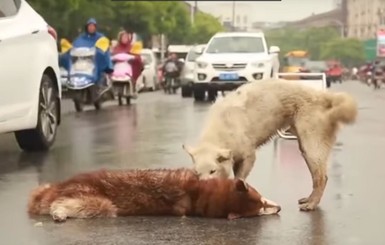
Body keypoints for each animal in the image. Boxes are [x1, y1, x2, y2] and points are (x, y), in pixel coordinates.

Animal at [183, 78, 356, 211]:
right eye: (197, 173)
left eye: (213, 171)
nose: (203, 190)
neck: (220, 133)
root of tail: (324, 97)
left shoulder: (248, 155)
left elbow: (239, 177)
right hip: (304, 146)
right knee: (316, 176)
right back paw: (308, 199)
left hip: (311, 143)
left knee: (321, 177)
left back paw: (312, 204)